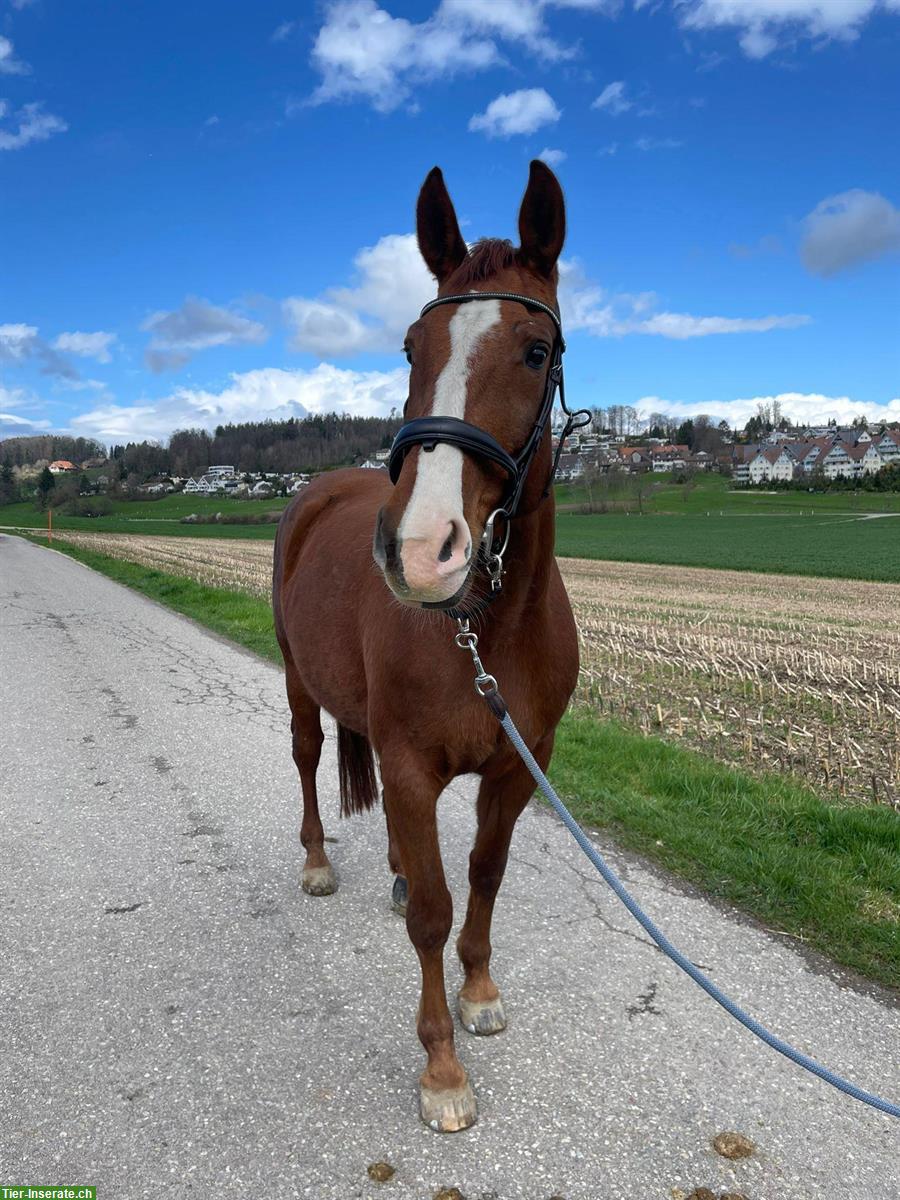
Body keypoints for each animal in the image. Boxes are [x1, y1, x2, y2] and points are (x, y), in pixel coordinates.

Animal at [274, 162, 580, 1132]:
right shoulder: (409, 767)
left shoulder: (521, 763)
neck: (485, 625)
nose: (420, 550)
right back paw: (318, 862)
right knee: (307, 755)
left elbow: (482, 874)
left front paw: (479, 992)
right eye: (412, 348)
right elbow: (436, 917)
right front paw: (442, 1067)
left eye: (537, 351)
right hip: (298, 681)